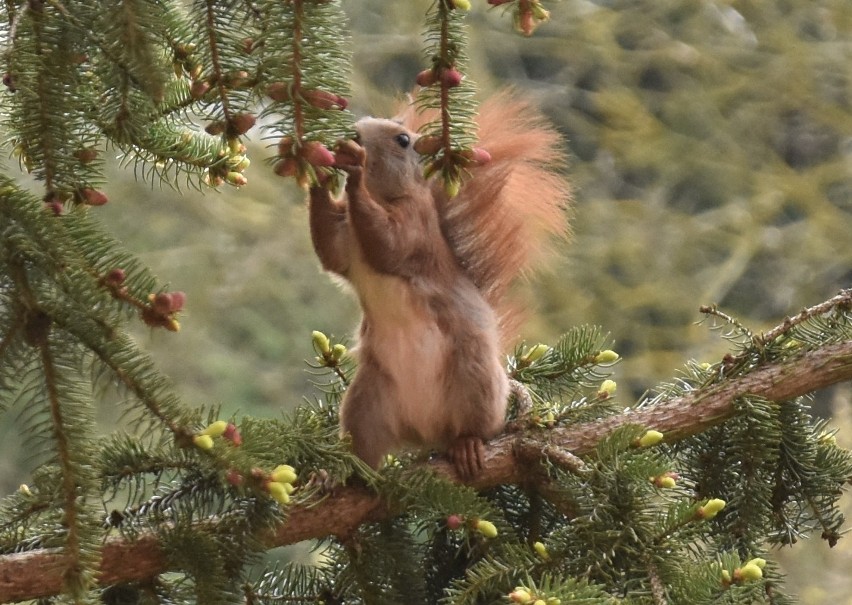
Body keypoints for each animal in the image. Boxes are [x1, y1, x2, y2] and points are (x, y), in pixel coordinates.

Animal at [310, 91, 568, 476]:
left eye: (403, 140)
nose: (354, 133)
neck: (381, 196)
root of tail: (427, 431)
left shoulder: (415, 226)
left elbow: (388, 246)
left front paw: (354, 169)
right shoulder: (342, 241)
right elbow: (328, 249)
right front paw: (315, 166)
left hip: (474, 380)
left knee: (477, 426)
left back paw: (468, 445)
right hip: (366, 403)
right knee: (365, 450)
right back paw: (342, 475)